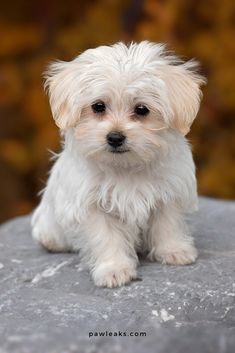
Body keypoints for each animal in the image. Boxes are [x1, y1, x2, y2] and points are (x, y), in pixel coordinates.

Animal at [30, 41, 206, 288]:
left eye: (141, 110)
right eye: (98, 106)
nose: (115, 137)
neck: (125, 167)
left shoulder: (168, 191)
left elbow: (168, 223)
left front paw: (174, 250)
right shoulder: (92, 205)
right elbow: (106, 237)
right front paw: (113, 269)